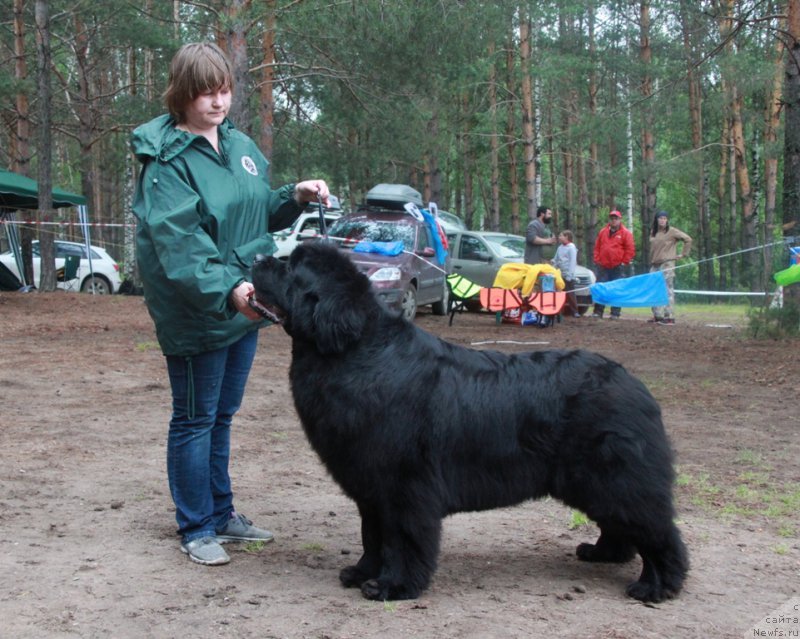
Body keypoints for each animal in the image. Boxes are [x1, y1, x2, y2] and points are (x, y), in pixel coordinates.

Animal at [250, 242, 688, 604]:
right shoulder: (370, 486)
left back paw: (656, 586)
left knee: (658, 532)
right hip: (597, 483)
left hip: (616, 478)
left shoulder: (404, 486)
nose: (256, 257)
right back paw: (603, 554)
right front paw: (361, 574)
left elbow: (401, 539)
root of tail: (634, 384)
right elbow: (371, 535)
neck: (355, 351)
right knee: (621, 525)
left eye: (290, 267)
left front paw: (393, 586)